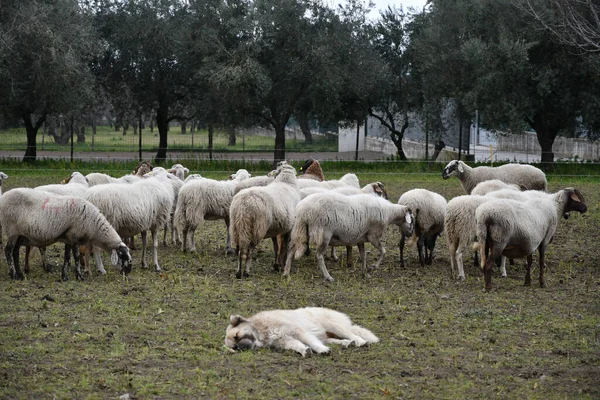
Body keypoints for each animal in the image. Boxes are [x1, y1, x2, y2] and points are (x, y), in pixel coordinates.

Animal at [0, 188, 132, 280]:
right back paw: (14, 275)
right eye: (122, 256)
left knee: (15, 252)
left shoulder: (69, 238)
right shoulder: (74, 236)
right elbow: (76, 257)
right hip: (12, 230)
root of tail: (3, 197)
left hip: (20, 235)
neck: (94, 226)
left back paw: (20, 275)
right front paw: (79, 276)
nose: (128, 270)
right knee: (8, 251)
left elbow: (67, 257)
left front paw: (65, 276)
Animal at [223, 306, 378, 356]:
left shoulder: (298, 332)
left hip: (333, 326)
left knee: (351, 334)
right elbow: (298, 345)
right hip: (326, 336)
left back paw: (360, 342)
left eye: (237, 336)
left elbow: (313, 343)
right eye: (234, 347)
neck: (261, 331)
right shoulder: (286, 340)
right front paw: (304, 350)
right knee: (336, 340)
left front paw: (321, 351)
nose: (242, 348)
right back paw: (347, 343)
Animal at [284, 193, 414, 282]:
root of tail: (302, 210)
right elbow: (383, 251)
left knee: (291, 249)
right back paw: (328, 277)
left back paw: (286, 272)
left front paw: (364, 272)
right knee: (319, 256)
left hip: (299, 229)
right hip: (324, 234)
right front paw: (373, 267)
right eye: (411, 219)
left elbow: (364, 256)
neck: (389, 213)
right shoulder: (373, 236)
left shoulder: (361, 239)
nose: (411, 233)